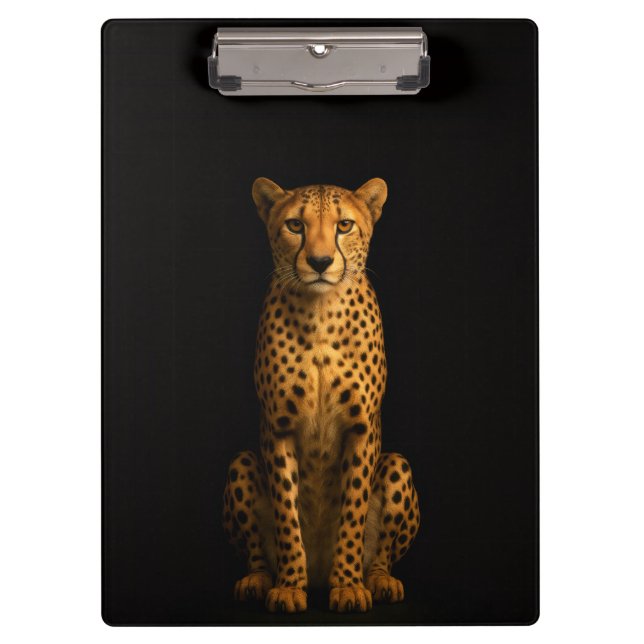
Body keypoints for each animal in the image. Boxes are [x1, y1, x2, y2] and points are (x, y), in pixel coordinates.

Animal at [223, 178, 420, 613]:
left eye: (344, 225)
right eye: (295, 225)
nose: (319, 261)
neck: (320, 313)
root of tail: (319, 571)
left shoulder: (361, 429)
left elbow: (353, 509)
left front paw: (347, 585)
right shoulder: (278, 427)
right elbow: (286, 512)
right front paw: (288, 586)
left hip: (398, 464)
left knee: (381, 554)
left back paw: (379, 580)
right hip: (241, 462)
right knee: (257, 552)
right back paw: (259, 580)